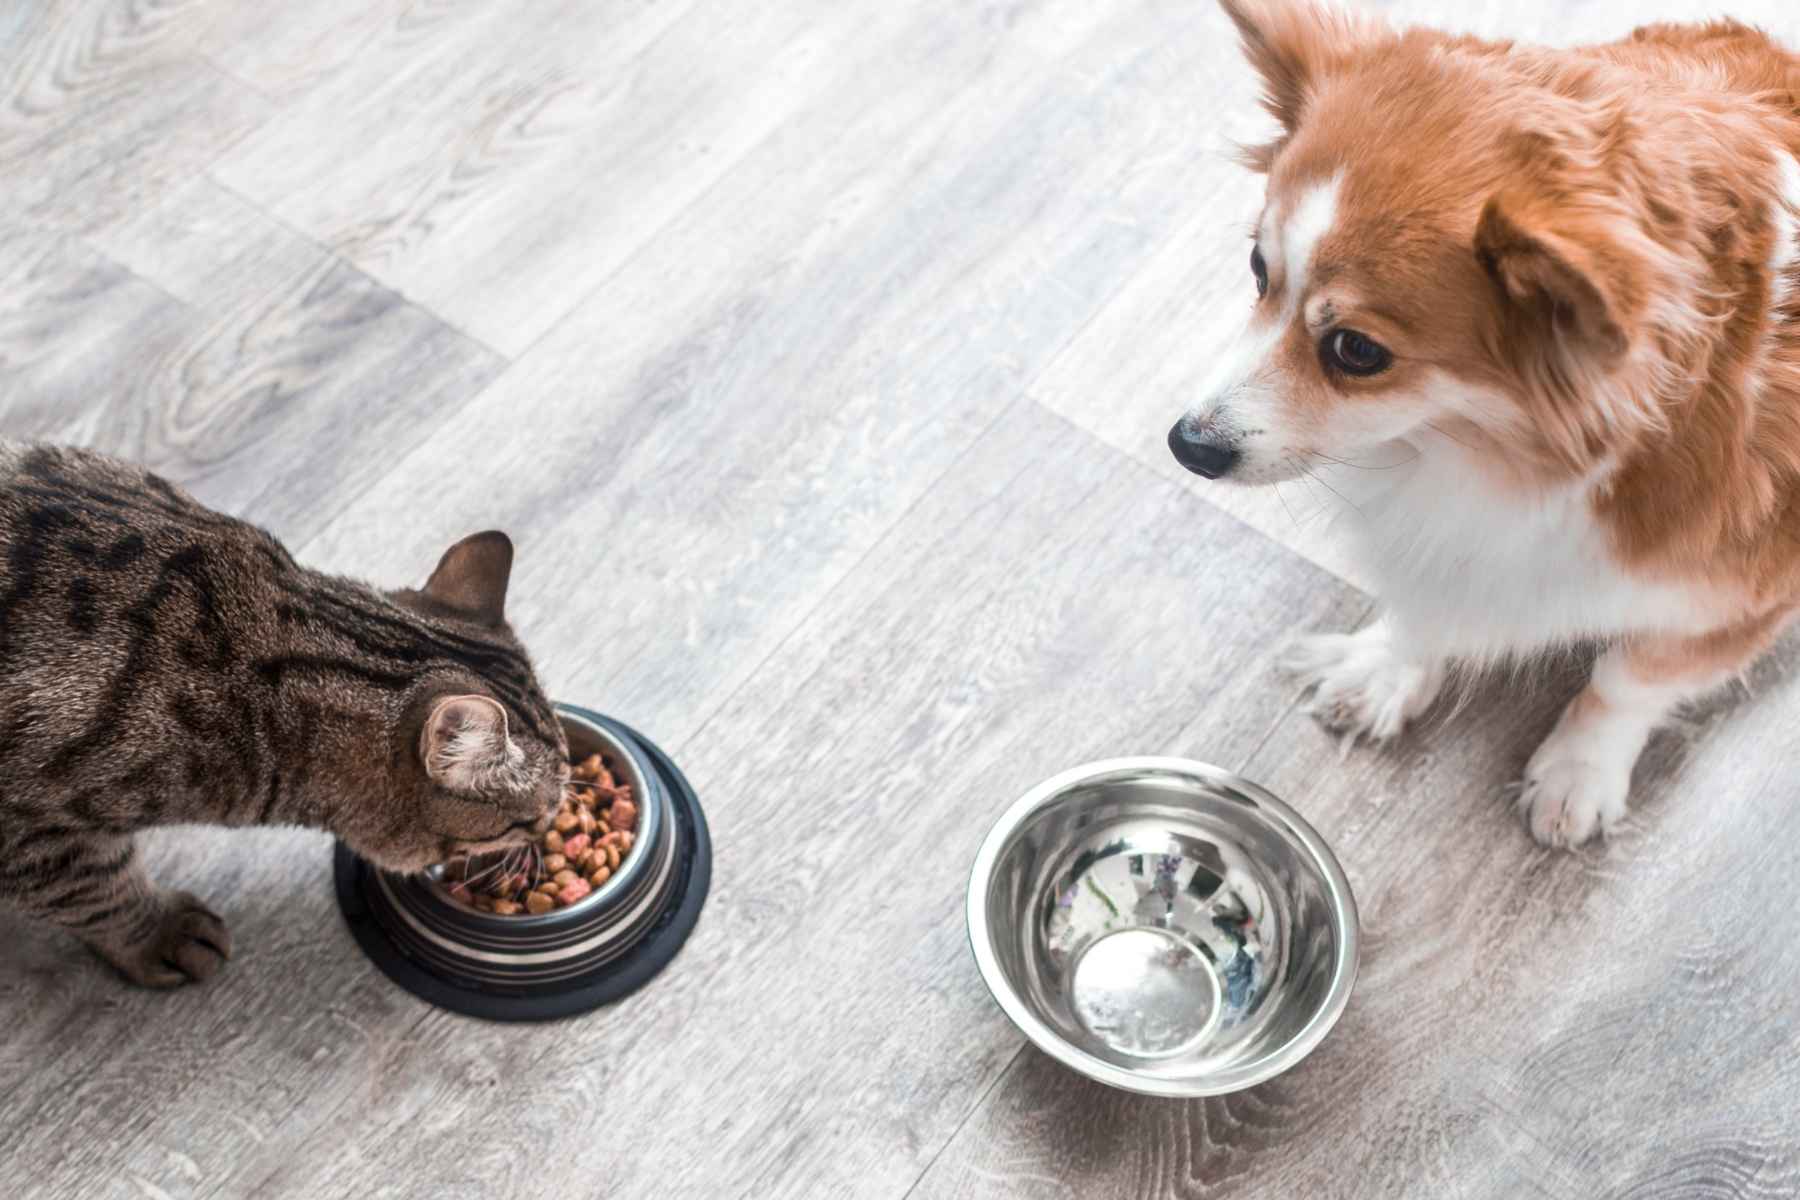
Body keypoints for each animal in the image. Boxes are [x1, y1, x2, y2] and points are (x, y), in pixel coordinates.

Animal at [1166, 0, 1800, 849]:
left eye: (1356, 350)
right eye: (1259, 274)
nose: (1187, 444)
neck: (1483, 454)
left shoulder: (1741, 597)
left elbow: (1629, 678)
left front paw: (1578, 770)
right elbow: (1430, 602)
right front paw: (1386, 669)